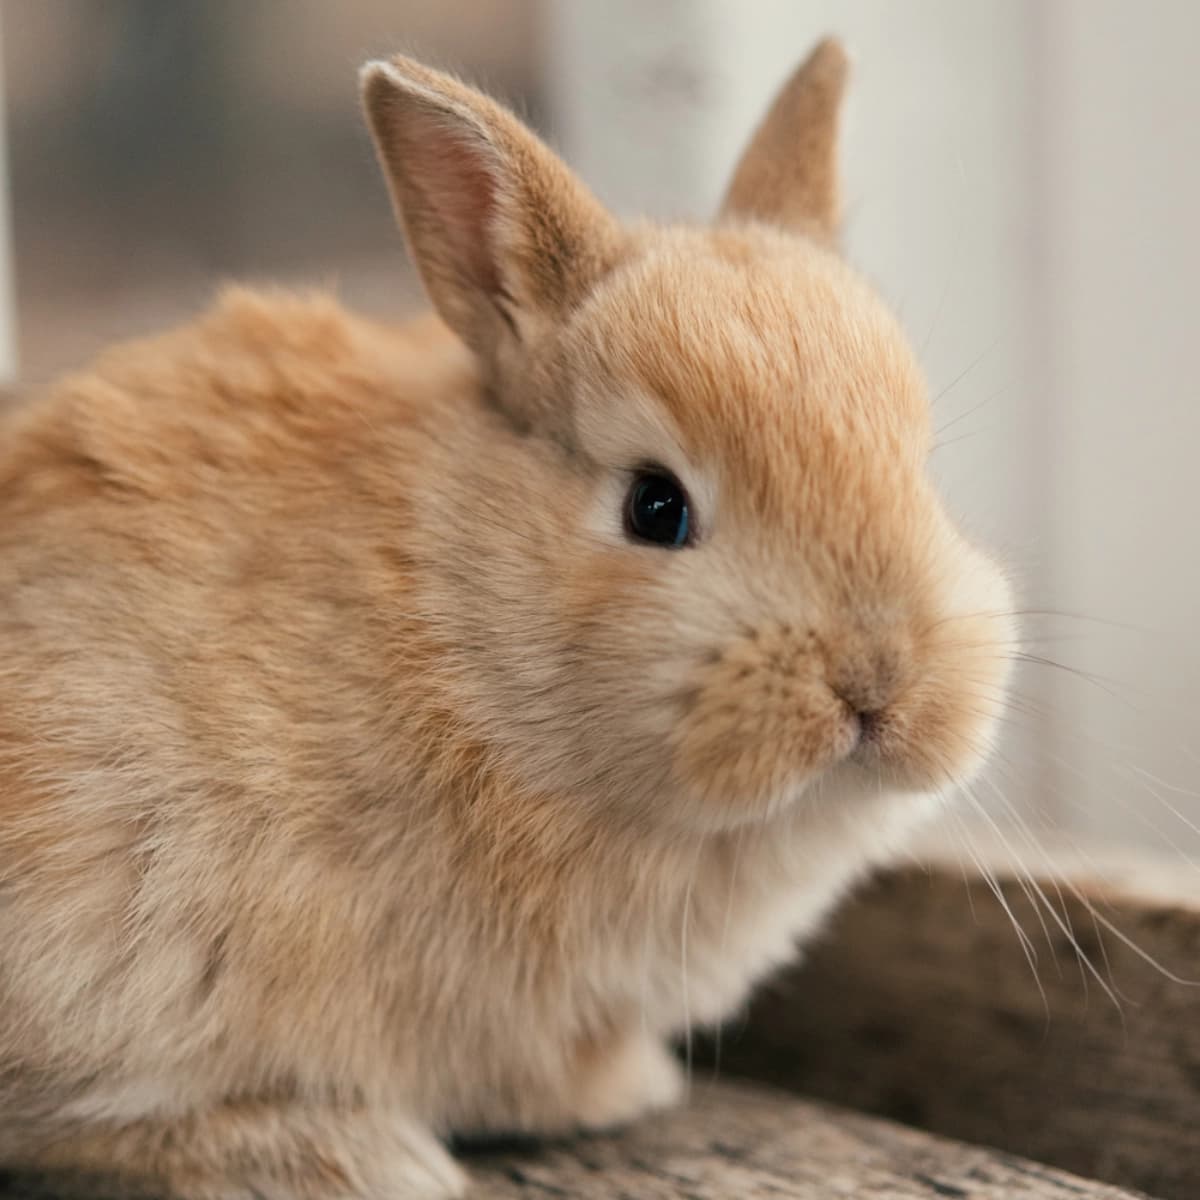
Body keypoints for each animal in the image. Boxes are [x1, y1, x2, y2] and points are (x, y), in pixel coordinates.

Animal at [0, 36, 1014, 1200]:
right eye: (655, 506)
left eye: (920, 470)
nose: (877, 683)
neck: (463, 630)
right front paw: (619, 1094)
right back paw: (352, 1155)